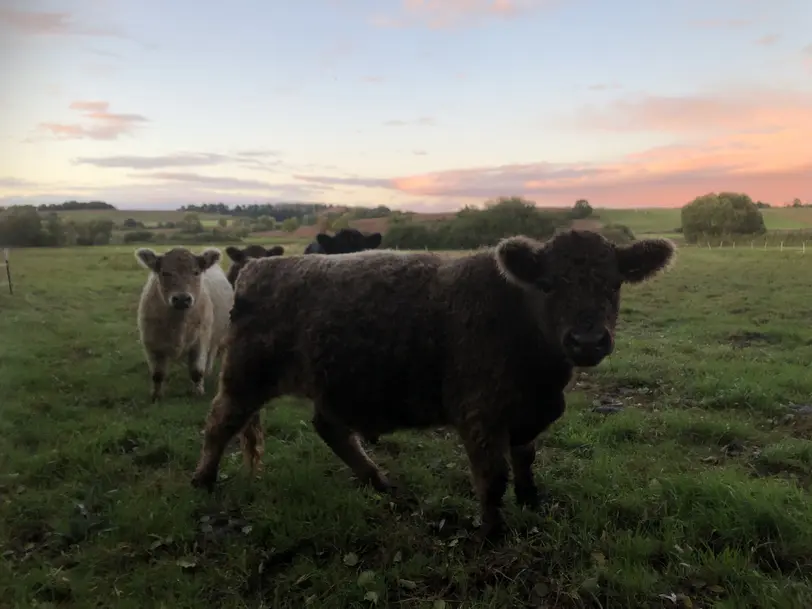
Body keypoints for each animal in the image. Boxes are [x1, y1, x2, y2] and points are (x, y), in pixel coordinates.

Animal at [193, 230, 676, 540]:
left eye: (614, 283)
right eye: (547, 284)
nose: (588, 340)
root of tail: (258, 265)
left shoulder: (526, 414)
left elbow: (526, 459)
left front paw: (531, 500)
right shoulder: (480, 412)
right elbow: (493, 477)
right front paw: (494, 534)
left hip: (334, 382)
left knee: (330, 429)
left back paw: (378, 481)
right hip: (244, 376)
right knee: (219, 422)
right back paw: (202, 481)